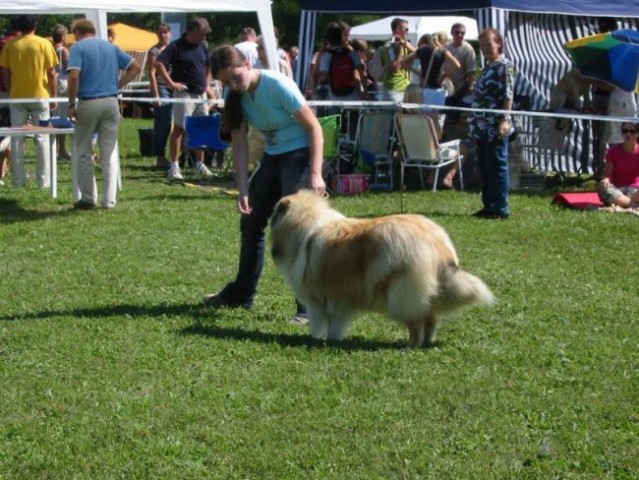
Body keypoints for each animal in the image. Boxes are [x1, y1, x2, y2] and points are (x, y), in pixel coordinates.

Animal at [268, 191, 496, 348]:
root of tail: (435, 243)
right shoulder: (340, 299)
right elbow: (336, 324)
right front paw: (333, 339)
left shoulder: (317, 299)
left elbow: (319, 322)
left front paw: (317, 339)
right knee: (430, 318)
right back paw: (427, 343)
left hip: (400, 293)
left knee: (416, 322)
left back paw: (410, 346)